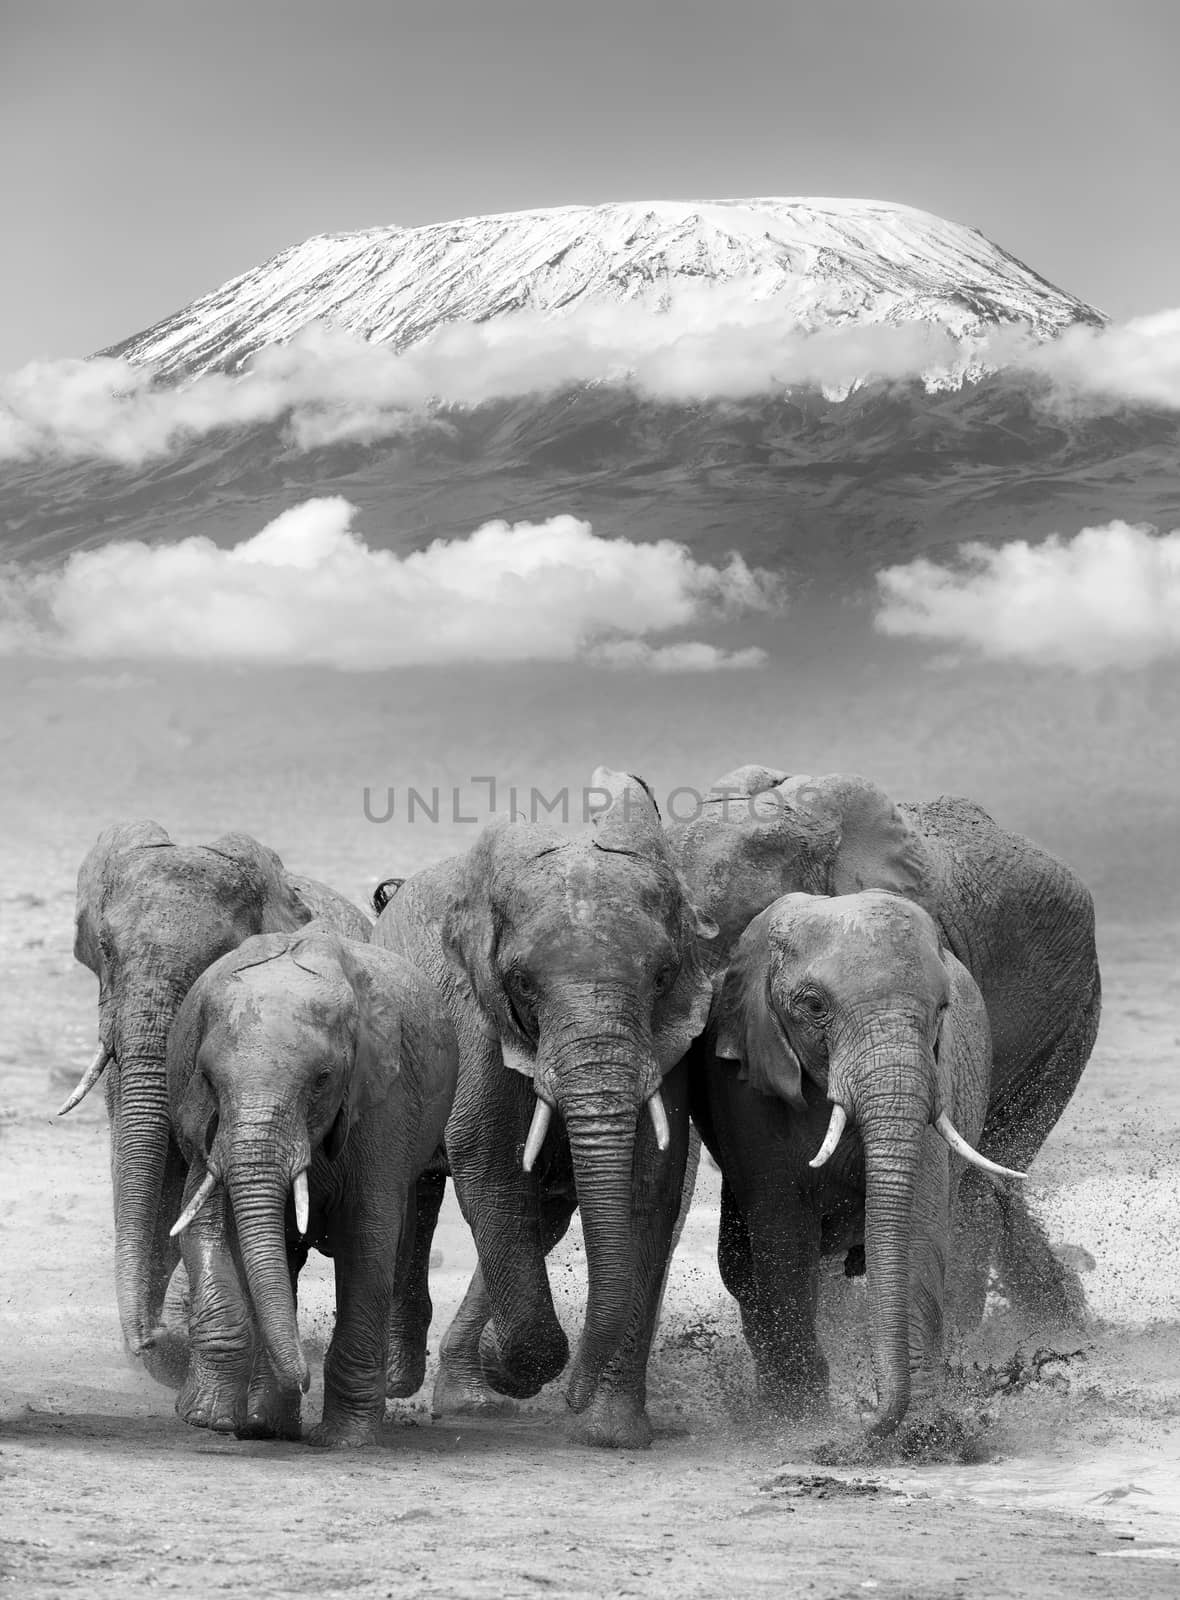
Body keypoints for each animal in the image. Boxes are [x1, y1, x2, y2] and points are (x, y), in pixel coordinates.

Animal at [164, 915, 454, 1452]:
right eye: (208, 1078)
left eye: (322, 1079)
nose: (303, 1377)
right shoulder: (205, 1122)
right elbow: (207, 1226)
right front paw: (207, 1418)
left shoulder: (383, 1103)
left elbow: (369, 1238)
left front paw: (344, 1441)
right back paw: (264, 1424)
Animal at [372, 768, 713, 1446]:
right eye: (522, 983)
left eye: (663, 977)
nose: (574, 1399)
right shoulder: (477, 1015)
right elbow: (488, 1161)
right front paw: (514, 1366)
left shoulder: (669, 1043)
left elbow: (650, 1181)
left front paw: (611, 1435)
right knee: (416, 1192)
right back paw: (402, 1379)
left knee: (543, 1216)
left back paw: (472, 1398)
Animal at [690, 889, 1023, 1440]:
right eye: (813, 1006)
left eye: (942, 1008)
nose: (865, 1420)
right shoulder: (746, 1088)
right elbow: (783, 1238)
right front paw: (803, 1421)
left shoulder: (936, 1080)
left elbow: (917, 1230)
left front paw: (924, 1432)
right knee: (740, 1266)